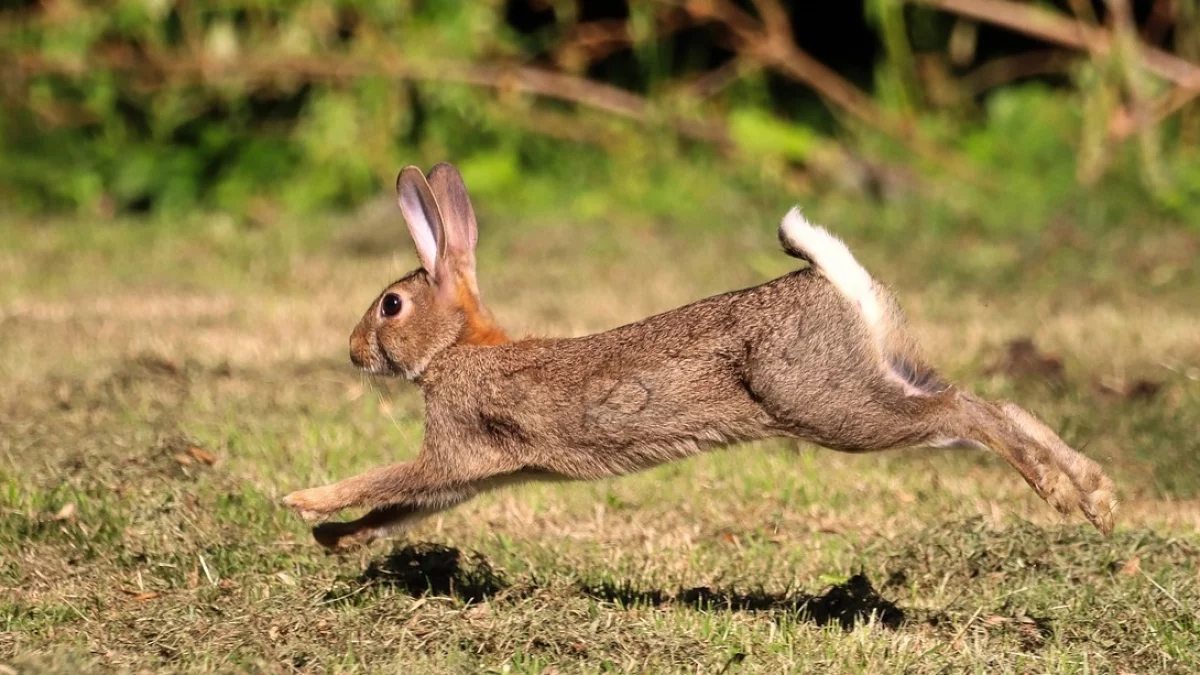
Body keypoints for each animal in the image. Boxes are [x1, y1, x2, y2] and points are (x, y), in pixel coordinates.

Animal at [280, 162, 1113, 547]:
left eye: (391, 305)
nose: (352, 350)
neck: (457, 346)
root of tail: (832, 283)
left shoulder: (453, 447)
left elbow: (386, 479)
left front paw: (303, 502)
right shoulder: (471, 474)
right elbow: (400, 507)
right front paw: (335, 540)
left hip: (835, 407)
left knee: (964, 409)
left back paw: (1061, 492)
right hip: (886, 374)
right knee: (990, 400)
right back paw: (1096, 494)